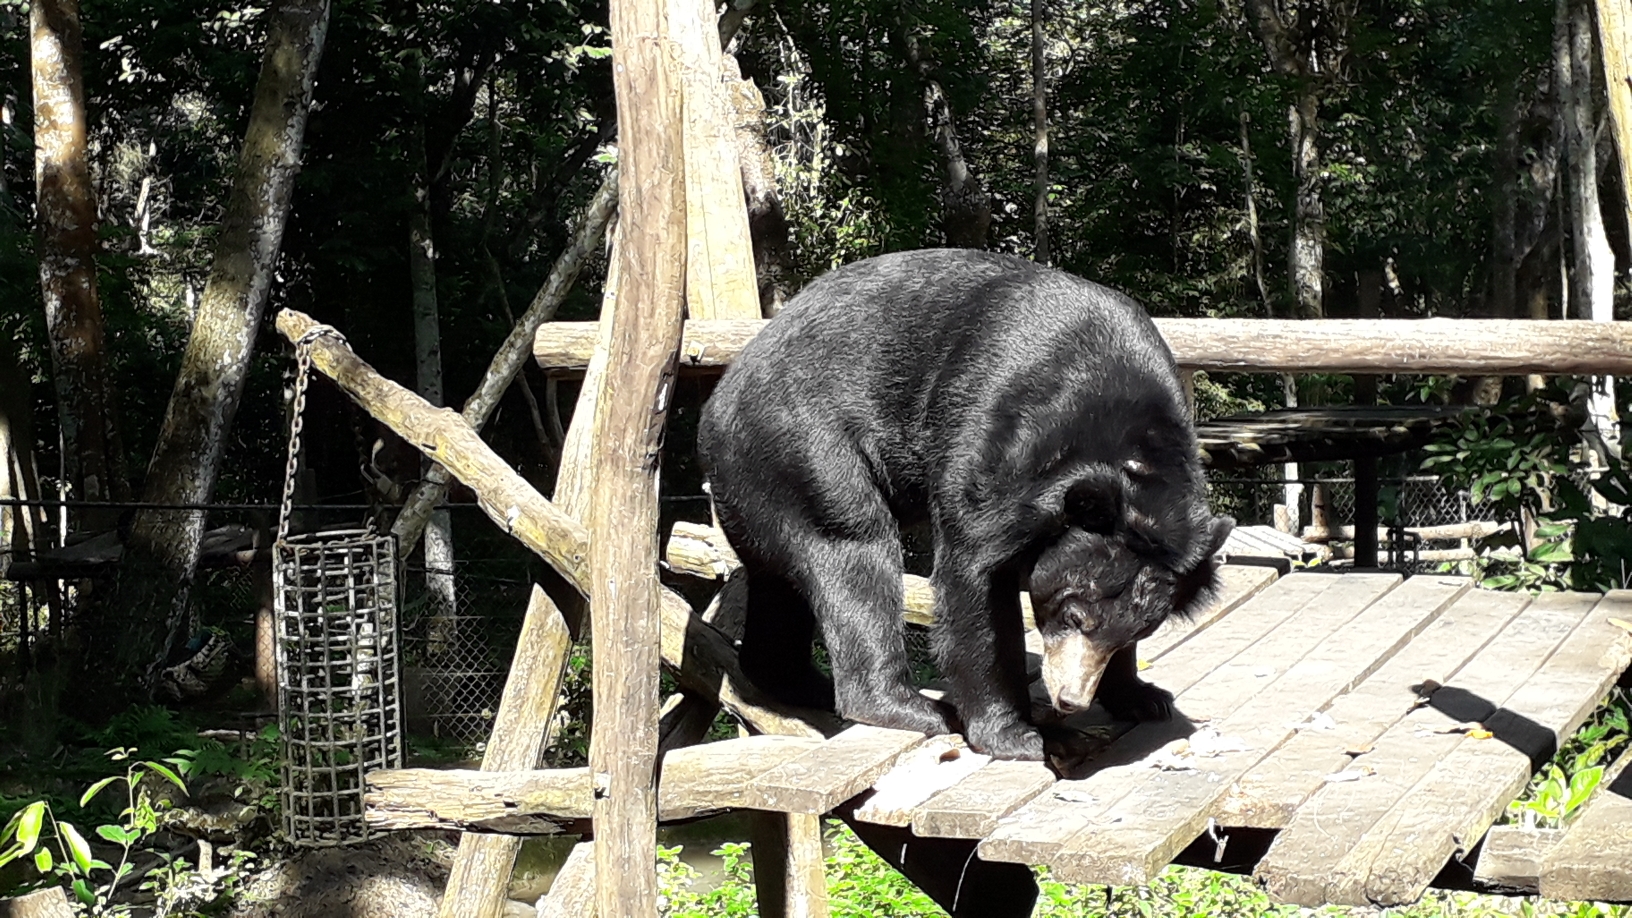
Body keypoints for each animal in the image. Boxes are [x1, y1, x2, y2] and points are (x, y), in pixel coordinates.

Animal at [695, 245, 1227, 757]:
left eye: (1137, 633)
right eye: (1074, 615)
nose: (1069, 699)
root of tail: (715, 407)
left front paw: (1141, 695)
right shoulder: (998, 446)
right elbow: (973, 584)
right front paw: (1019, 735)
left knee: (780, 587)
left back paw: (801, 682)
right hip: (804, 451)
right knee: (853, 554)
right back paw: (916, 708)